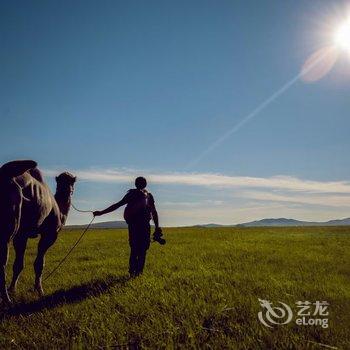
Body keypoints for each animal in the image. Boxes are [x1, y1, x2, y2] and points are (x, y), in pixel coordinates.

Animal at [0, 159, 76, 304]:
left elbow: (18, 264)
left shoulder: (22, 235)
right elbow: (39, 263)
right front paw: (39, 290)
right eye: (63, 181)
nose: (68, 190)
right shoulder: (50, 234)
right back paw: (6, 300)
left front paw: (13, 289)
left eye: (72, 181)